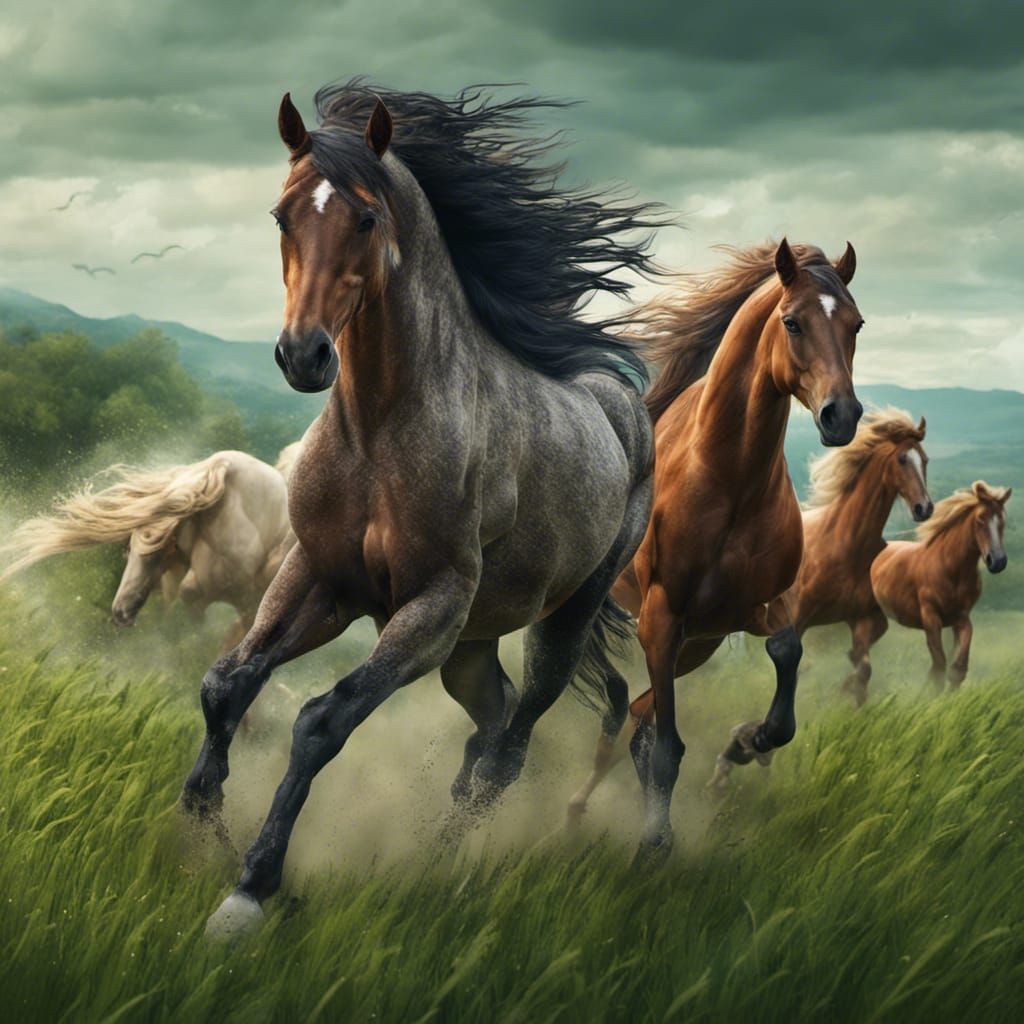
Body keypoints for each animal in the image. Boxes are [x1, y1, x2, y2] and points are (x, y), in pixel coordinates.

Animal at [180, 82, 660, 938]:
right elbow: (225, 685)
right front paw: (205, 828)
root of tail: (624, 407)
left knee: (508, 749)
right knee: (490, 728)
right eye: (282, 216)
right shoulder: (322, 579)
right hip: (471, 647)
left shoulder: (431, 605)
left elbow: (321, 721)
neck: (379, 430)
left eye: (367, 219)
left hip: (558, 623)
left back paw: (447, 872)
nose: (303, 355)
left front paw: (251, 888)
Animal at [566, 240, 864, 858]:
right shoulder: (660, 618)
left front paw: (751, 739)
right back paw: (575, 809)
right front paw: (654, 846)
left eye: (856, 324)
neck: (729, 481)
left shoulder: (753, 609)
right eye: (792, 322)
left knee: (636, 718)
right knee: (622, 715)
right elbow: (667, 748)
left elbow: (786, 660)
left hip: (697, 646)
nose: (841, 416)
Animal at [765, 408, 932, 706]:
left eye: (924, 460)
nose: (924, 508)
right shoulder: (797, 619)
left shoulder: (864, 619)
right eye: (902, 459)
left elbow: (863, 667)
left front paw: (851, 695)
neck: (847, 544)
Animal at [871, 480, 1010, 690]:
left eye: (1002, 520)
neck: (950, 570)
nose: (998, 561)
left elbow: (958, 668)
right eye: (980, 519)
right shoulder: (930, 618)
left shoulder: (961, 618)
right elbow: (938, 667)